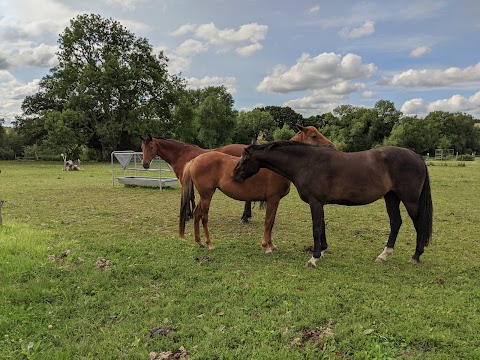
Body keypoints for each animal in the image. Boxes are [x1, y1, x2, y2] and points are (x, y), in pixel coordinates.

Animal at [231, 141, 434, 268]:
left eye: (244, 159)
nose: (233, 176)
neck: (307, 163)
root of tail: (417, 157)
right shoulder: (320, 203)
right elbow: (322, 227)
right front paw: (322, 252)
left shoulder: (315, 202)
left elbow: (316, 228)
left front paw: (313, 259)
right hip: (391, 197)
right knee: (395, 222)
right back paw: (383, 255)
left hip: (410, 200)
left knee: (418, 225)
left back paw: (415, 256)